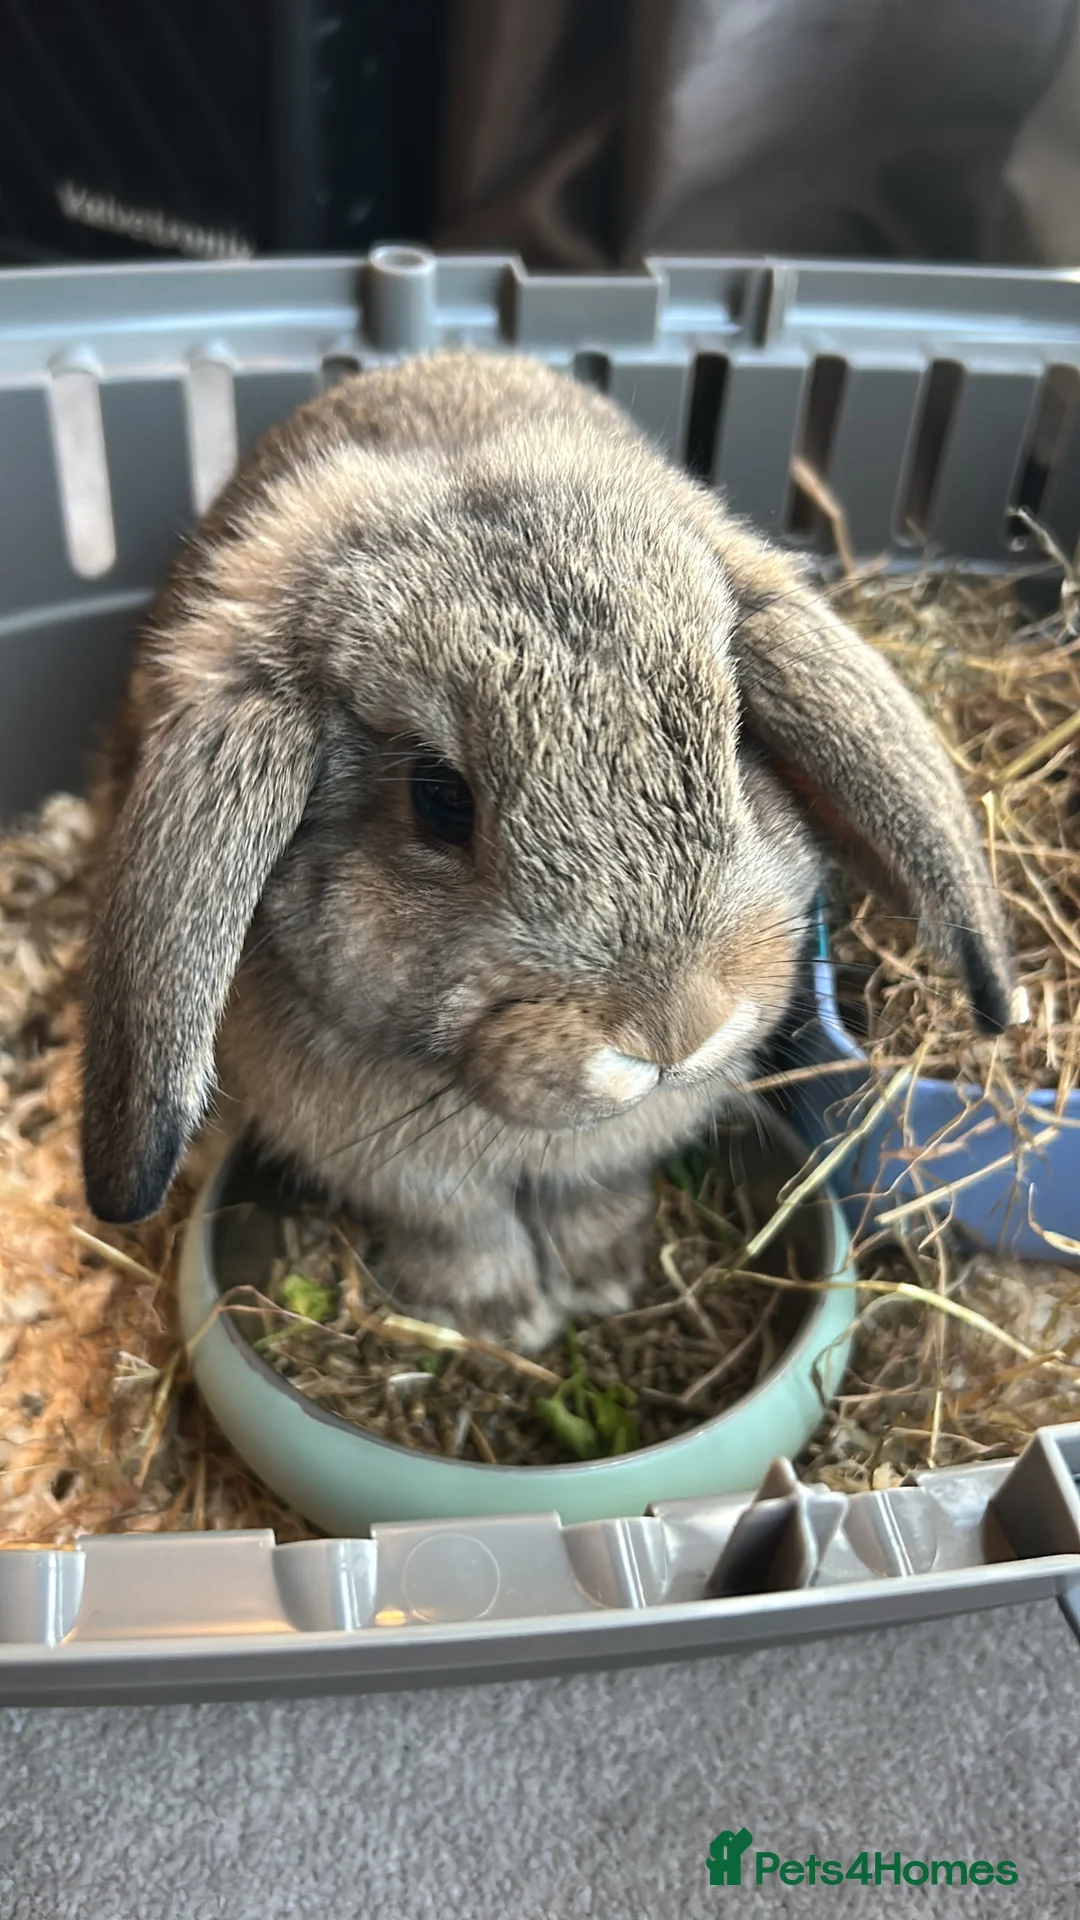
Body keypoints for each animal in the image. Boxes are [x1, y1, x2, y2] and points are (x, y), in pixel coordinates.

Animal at [80, 349, 1012, 1350]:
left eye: (735, 742)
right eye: (439, 798)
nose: (676, 1032)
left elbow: (589, 1193)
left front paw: (605, 1276)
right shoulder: (407, 1177)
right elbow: (462, 1227)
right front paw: (498, 1321)